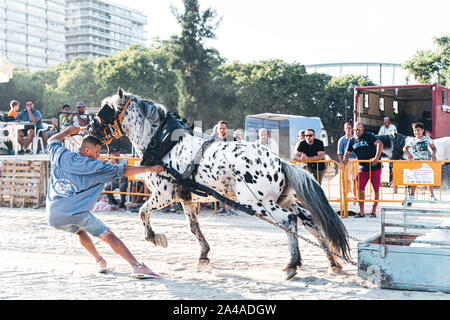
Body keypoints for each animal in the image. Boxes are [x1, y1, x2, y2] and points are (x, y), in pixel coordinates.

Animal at [88, 88, 352, 280]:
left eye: (104, 112)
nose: (88, 132)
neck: (164, 143)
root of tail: (280, 160)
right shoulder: (185, 198)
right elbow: (194, 227)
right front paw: (203, 255)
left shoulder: (165, 195)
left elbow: (142, 212)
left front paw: (154, 237)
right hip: (283, 200)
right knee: (309, 221)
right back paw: (332, 263)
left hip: (258, 203)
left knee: (289, 221)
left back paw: (291, 265)